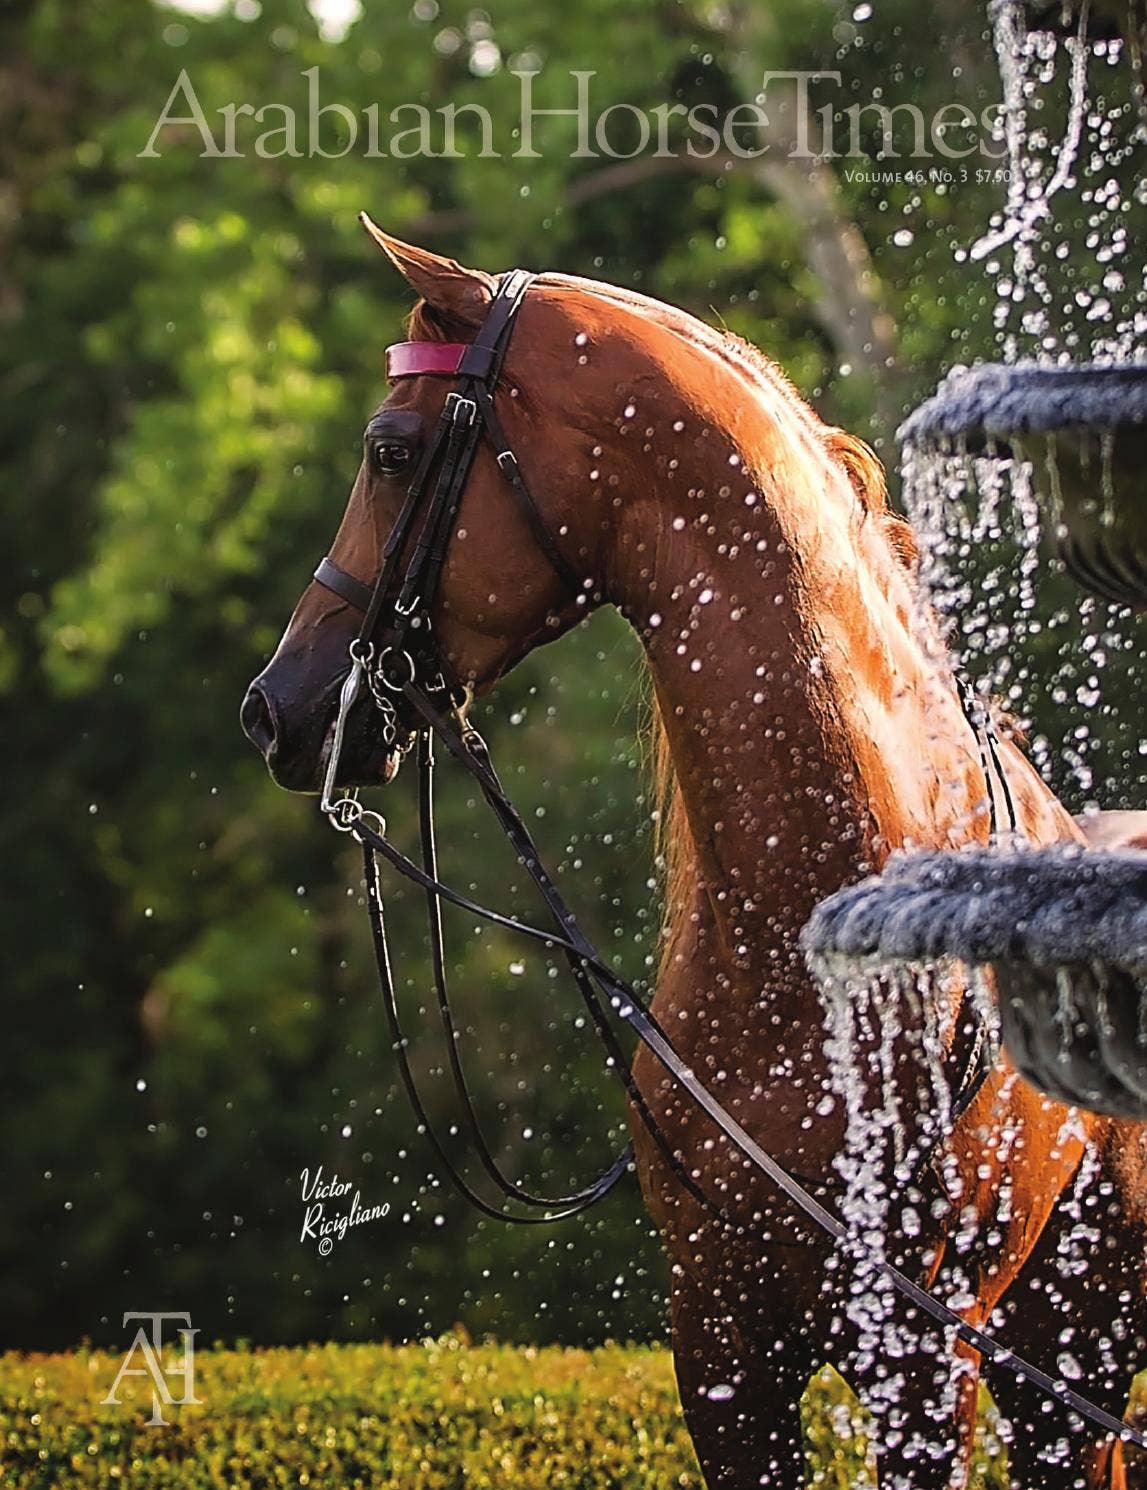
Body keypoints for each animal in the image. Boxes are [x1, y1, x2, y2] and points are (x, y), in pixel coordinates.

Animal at [241, 221, 1147, 1489]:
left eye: (388, 450)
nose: (276, 707)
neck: (815, 948)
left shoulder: (924, 1360)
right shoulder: (721, 1344)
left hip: (1074, 1358)